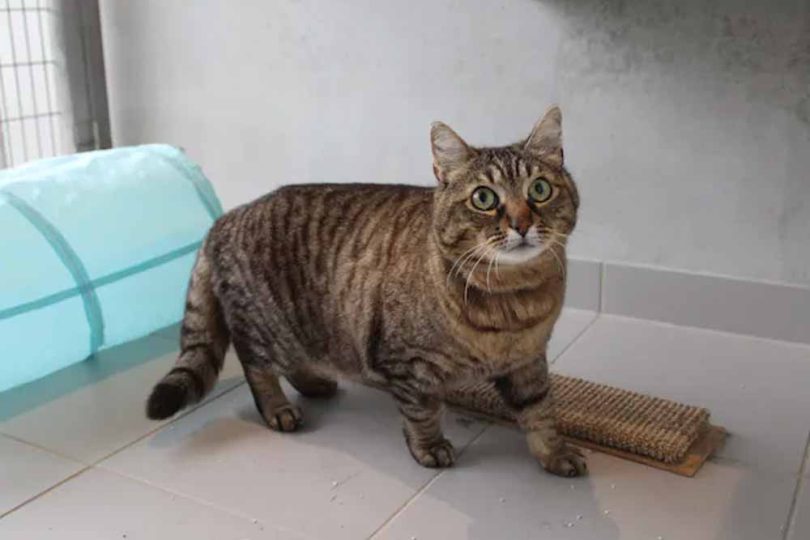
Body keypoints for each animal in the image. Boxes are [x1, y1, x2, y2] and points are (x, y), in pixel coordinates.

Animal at [146, 106, 586, 477]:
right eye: (484, 198)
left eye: (540, 190)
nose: (522, 224)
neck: (514, 299)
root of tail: (227, 216)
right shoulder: (407, 363)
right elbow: (423, 411)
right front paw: (429, 447)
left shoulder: (528, 362)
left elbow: (540, 411)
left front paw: (555, 453)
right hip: (268, 326)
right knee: (255, 363)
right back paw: (278, 407)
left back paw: (315, 384)